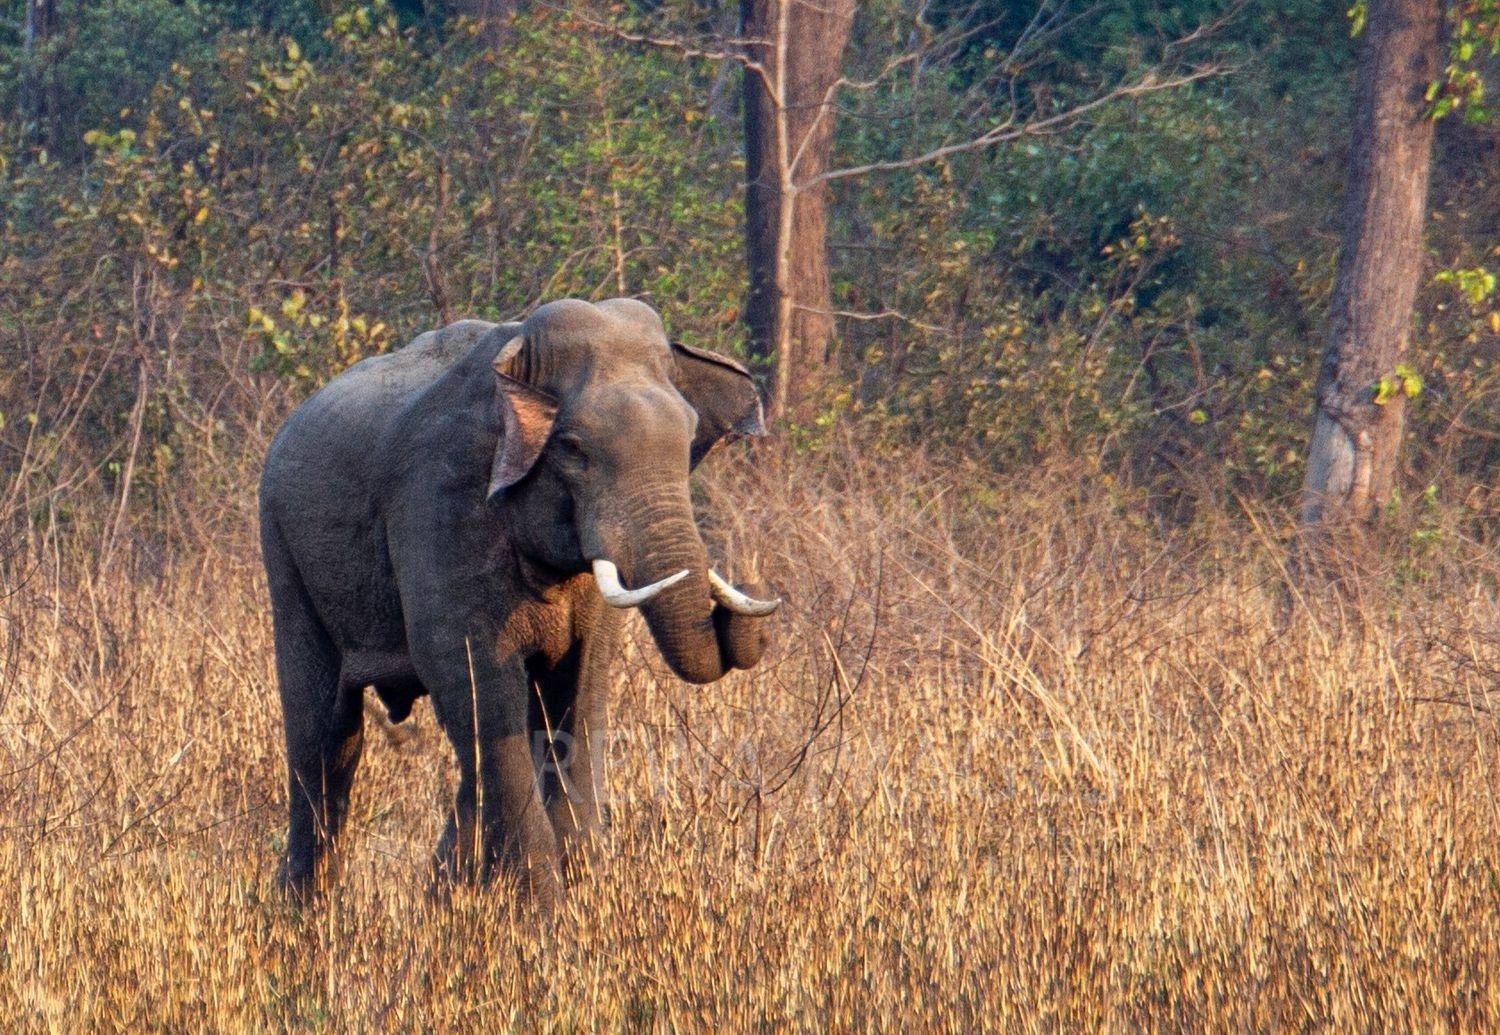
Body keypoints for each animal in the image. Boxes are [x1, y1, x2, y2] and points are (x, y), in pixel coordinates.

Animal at [258, 297, 779, 901]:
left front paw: (582, 898)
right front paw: (540, 912)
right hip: (285, 554)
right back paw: (303, 911)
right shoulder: (440, 503)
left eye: (690, 435)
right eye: (572, 448)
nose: (749, 607)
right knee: (326, 732)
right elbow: (473, 677)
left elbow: (579, 689)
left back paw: (440, 897)